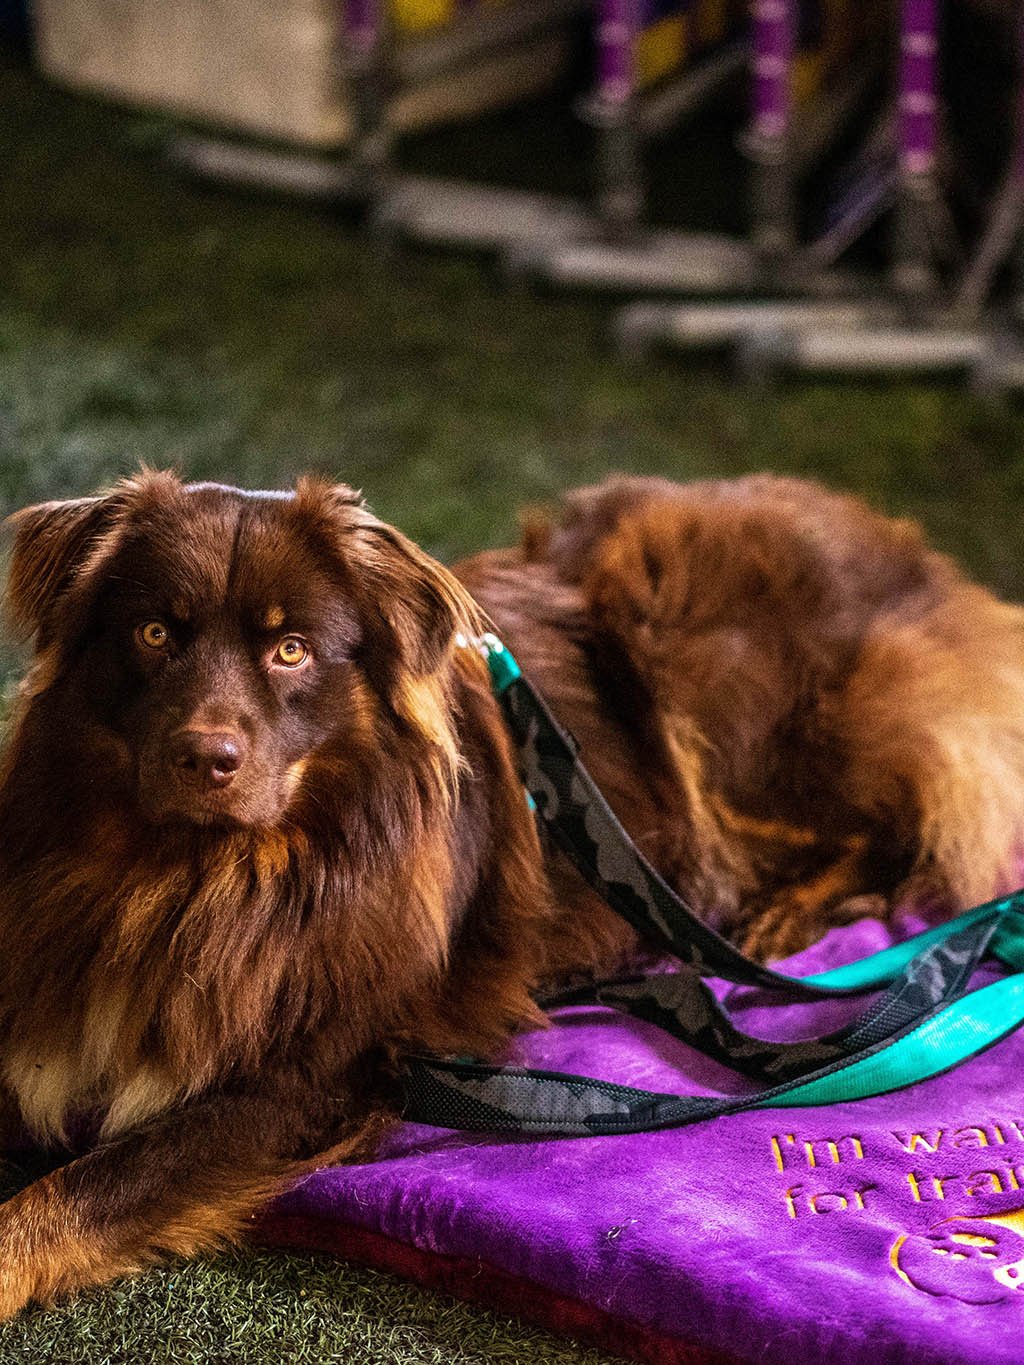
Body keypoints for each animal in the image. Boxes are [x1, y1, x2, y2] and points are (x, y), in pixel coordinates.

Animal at [0, 466, 1021, 1310]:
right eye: (153, 633)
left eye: (290, 650)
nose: (204, 758)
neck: (199, 872)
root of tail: (912, 554)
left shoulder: (318, 1068)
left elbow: (87, 1186)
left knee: (901, 827)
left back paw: (779, 915)